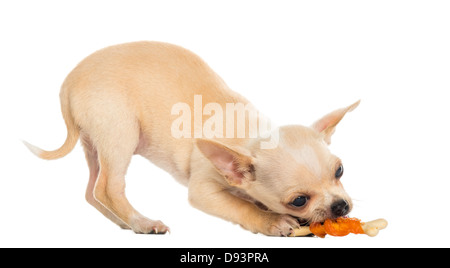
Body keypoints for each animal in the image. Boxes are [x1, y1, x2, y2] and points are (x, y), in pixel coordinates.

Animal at [25, 40, 362, 236]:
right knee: (107, 187)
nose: (340, 206)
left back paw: (123, 221)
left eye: (340, 171)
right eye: (299, 201)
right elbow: (240, 206)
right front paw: (270, 220)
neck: (250, 135)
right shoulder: (203, 190)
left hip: (94, 141)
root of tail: (67, 85)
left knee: (91, 190)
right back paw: (142, 223)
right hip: (119, 132)